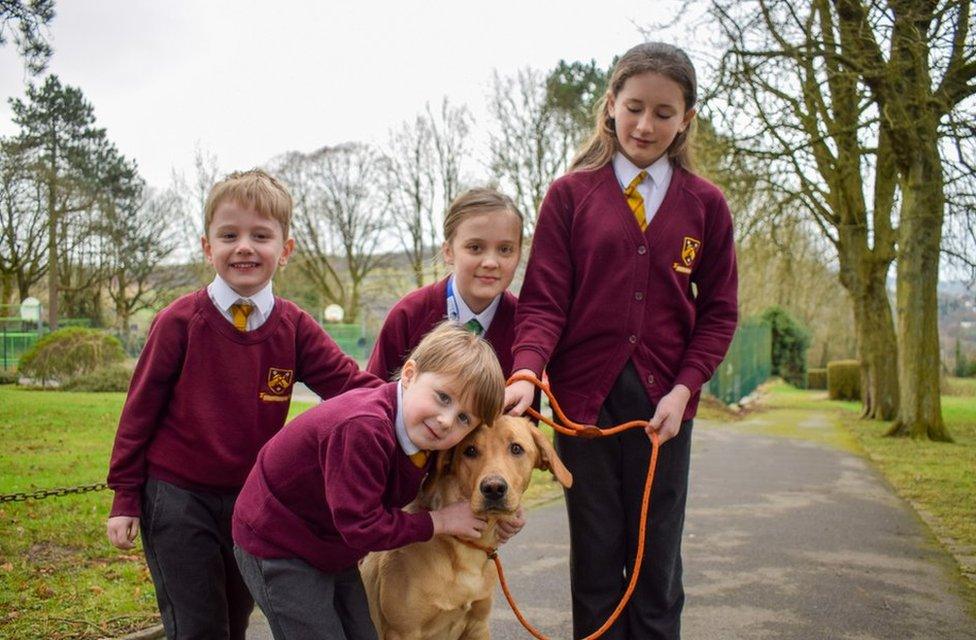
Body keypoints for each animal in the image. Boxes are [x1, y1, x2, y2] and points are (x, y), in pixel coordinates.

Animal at [358, 416, 572, 640]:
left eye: (516, 448)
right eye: (470, 451)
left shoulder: (478, 625)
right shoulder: (403, 632)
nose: (493, 488)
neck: (466, 550)